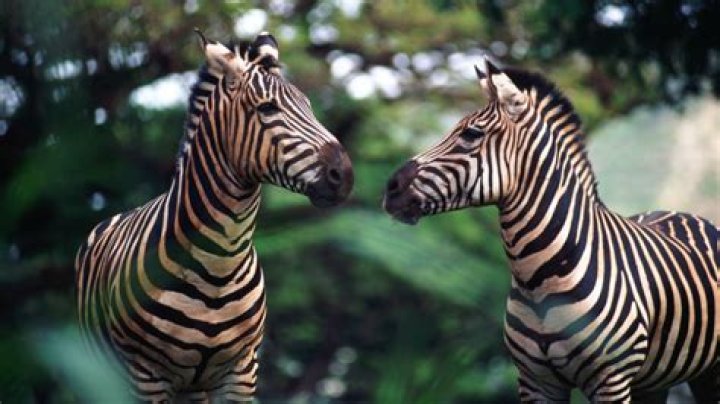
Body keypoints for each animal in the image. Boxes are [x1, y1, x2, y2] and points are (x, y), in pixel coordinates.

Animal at [75, 30, 353, 402]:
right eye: (267, 108)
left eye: (308, 106)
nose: (345, 175)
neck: (219, 263)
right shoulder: (146, 375)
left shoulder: (242, 371)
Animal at [383, 58, 718, 403]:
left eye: (472, 134)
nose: (390, 188)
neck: (538, 277)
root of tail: (678, 213)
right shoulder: (536, 380)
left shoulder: (611, 379)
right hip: (653, 380)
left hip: (706, 371)